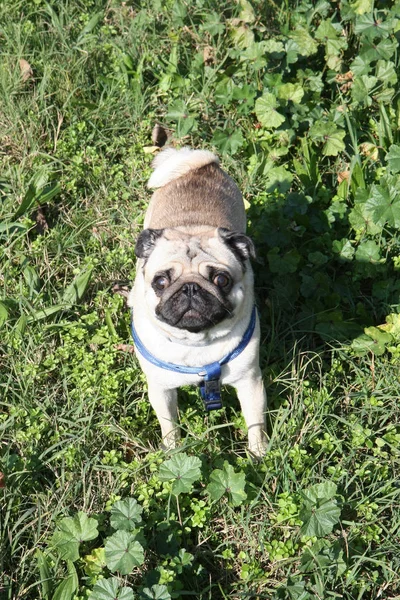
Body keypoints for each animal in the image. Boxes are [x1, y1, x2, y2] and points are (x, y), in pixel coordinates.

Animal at [126, 148, 268, 458]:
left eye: (221, 280)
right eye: (161, 282)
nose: (190, 288)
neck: (195, 343)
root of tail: (202, 165)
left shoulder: (250, 382)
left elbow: (255, 422)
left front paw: (260, 455)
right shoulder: (161, 389)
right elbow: (169, 425)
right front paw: (172, 452)